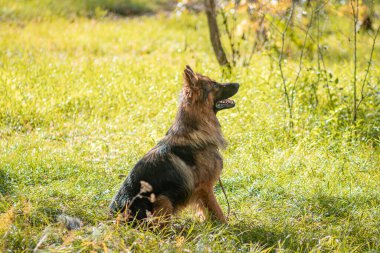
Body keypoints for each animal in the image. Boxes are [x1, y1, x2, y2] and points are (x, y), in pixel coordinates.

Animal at [109, 65, 238, 223]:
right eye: (215, 85)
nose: (238, 84)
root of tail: (115, 219)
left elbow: (205, 210)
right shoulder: (205, 188)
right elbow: (217, 210)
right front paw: (226, 226)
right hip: (163, 199)